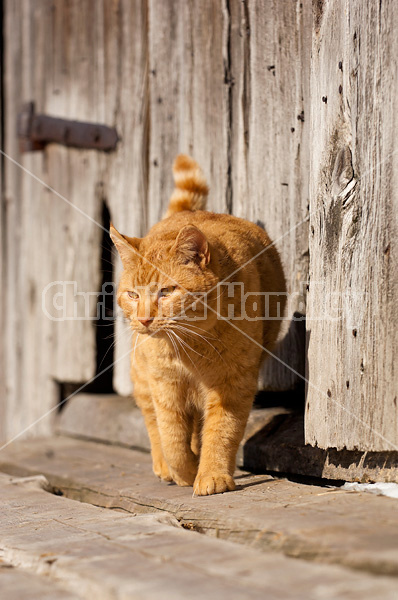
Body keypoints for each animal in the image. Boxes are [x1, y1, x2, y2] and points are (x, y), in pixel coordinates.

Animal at [110, 156, 286, 496]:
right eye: (133, 294)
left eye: (166, 292)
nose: (144, 319)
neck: (191, 347)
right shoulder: (165, 384)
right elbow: (171, 437)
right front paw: (182, 471)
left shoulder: (233, 385)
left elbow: (221, 432)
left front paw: (211, 475)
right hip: (142, 377)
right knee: (152, 423)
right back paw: (164, 467)